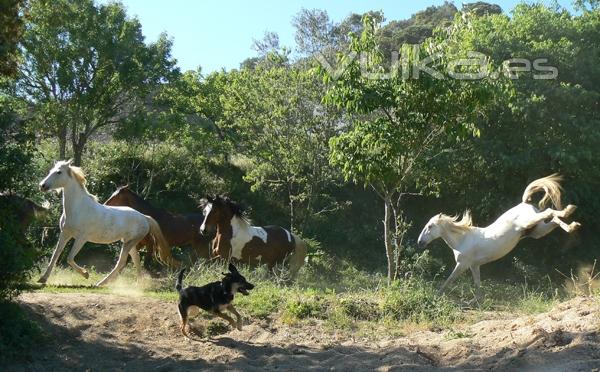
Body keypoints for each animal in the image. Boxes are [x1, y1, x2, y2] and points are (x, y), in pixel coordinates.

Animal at [38, 158, 179, 286]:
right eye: (51, 171)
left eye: (59, 172)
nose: (42, 186)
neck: (77, 208)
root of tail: (145, 217)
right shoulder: (65, 234)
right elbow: (55, 256)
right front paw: (43, 279)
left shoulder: (81, 238)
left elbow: (69, 258)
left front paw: (86, 274)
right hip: (129, 242)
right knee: (136, 259)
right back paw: (139, 284)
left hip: (129, 243)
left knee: (121, 262)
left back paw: (101, 283)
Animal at [418, 175, 580, 296]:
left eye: (430, 226)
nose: (420, 242)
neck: (462, 240)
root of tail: (524, 203)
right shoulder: (474, 266)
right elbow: (477, 285)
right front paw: (478, 302)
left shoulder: (462, 265)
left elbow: (449, 280)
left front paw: (437, 294)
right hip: (536, 231)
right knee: (553, 219)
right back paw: (573, 225)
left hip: (530, 222)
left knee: (549, 211)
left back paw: (569, 210)